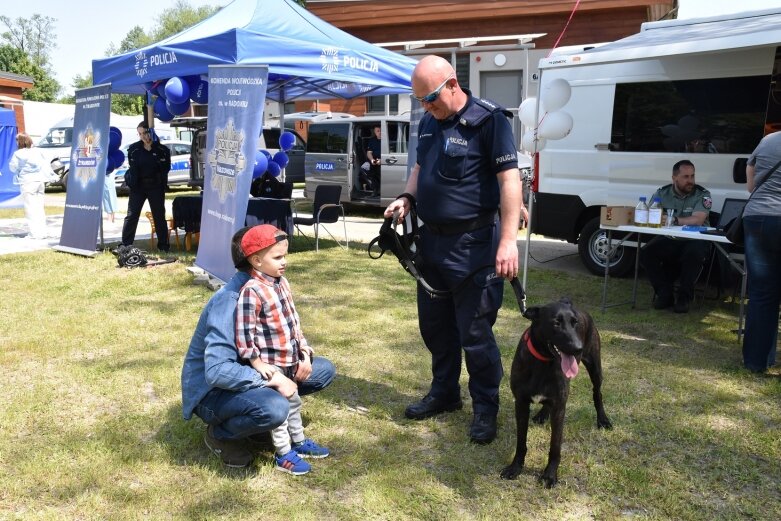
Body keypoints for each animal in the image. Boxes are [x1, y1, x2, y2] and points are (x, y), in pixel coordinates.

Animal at [500, 296, 608, 488]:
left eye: (575, 323)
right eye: (556, 323)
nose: (578, 348)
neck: (543, 361)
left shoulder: (560, 408)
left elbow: (555, 446)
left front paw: (550, 475)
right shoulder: (521, 403)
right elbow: (521, 441)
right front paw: (515, 467)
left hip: (595, 368)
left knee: (598, 393)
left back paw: (603, 419)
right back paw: (542, 414)